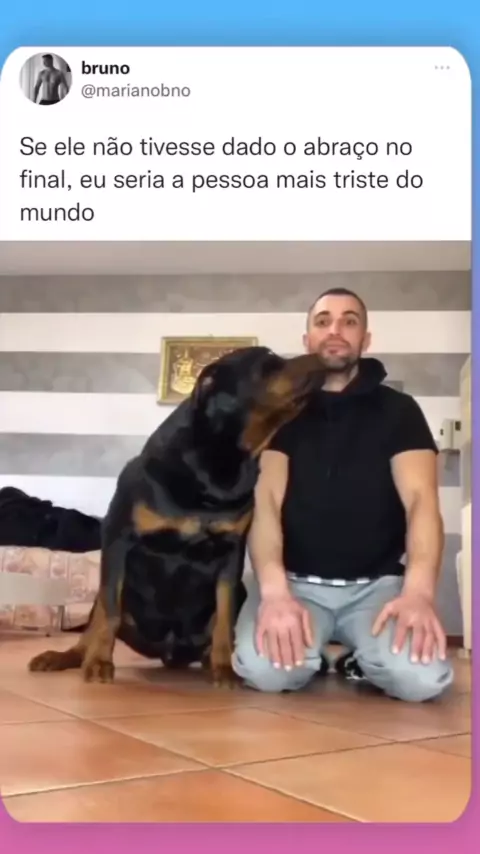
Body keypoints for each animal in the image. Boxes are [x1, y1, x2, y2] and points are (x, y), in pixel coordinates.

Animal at [28, 346, 324, 687]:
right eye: (268, 361)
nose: (321, 356)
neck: (220, 462)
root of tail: (170, 655)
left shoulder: (231, 554)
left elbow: (224, 618)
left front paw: (224, 668)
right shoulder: (117, 539)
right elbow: (109, 612)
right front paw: (100, 662)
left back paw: (209, 661)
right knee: (94, 621)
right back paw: (64, 657)